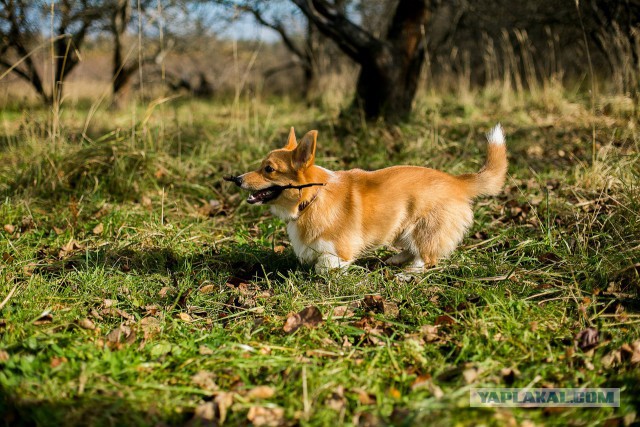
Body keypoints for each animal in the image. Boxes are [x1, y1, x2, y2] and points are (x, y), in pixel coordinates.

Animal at [228, 125, 508, 274]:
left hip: (424, 229)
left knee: (426, 259)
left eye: (269, 169)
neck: (312, 199)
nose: (238, 179)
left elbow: (324, 266)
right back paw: (397, 259)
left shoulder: (338, 252)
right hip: (400, 227)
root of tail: (457, 181)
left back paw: (406, 274)